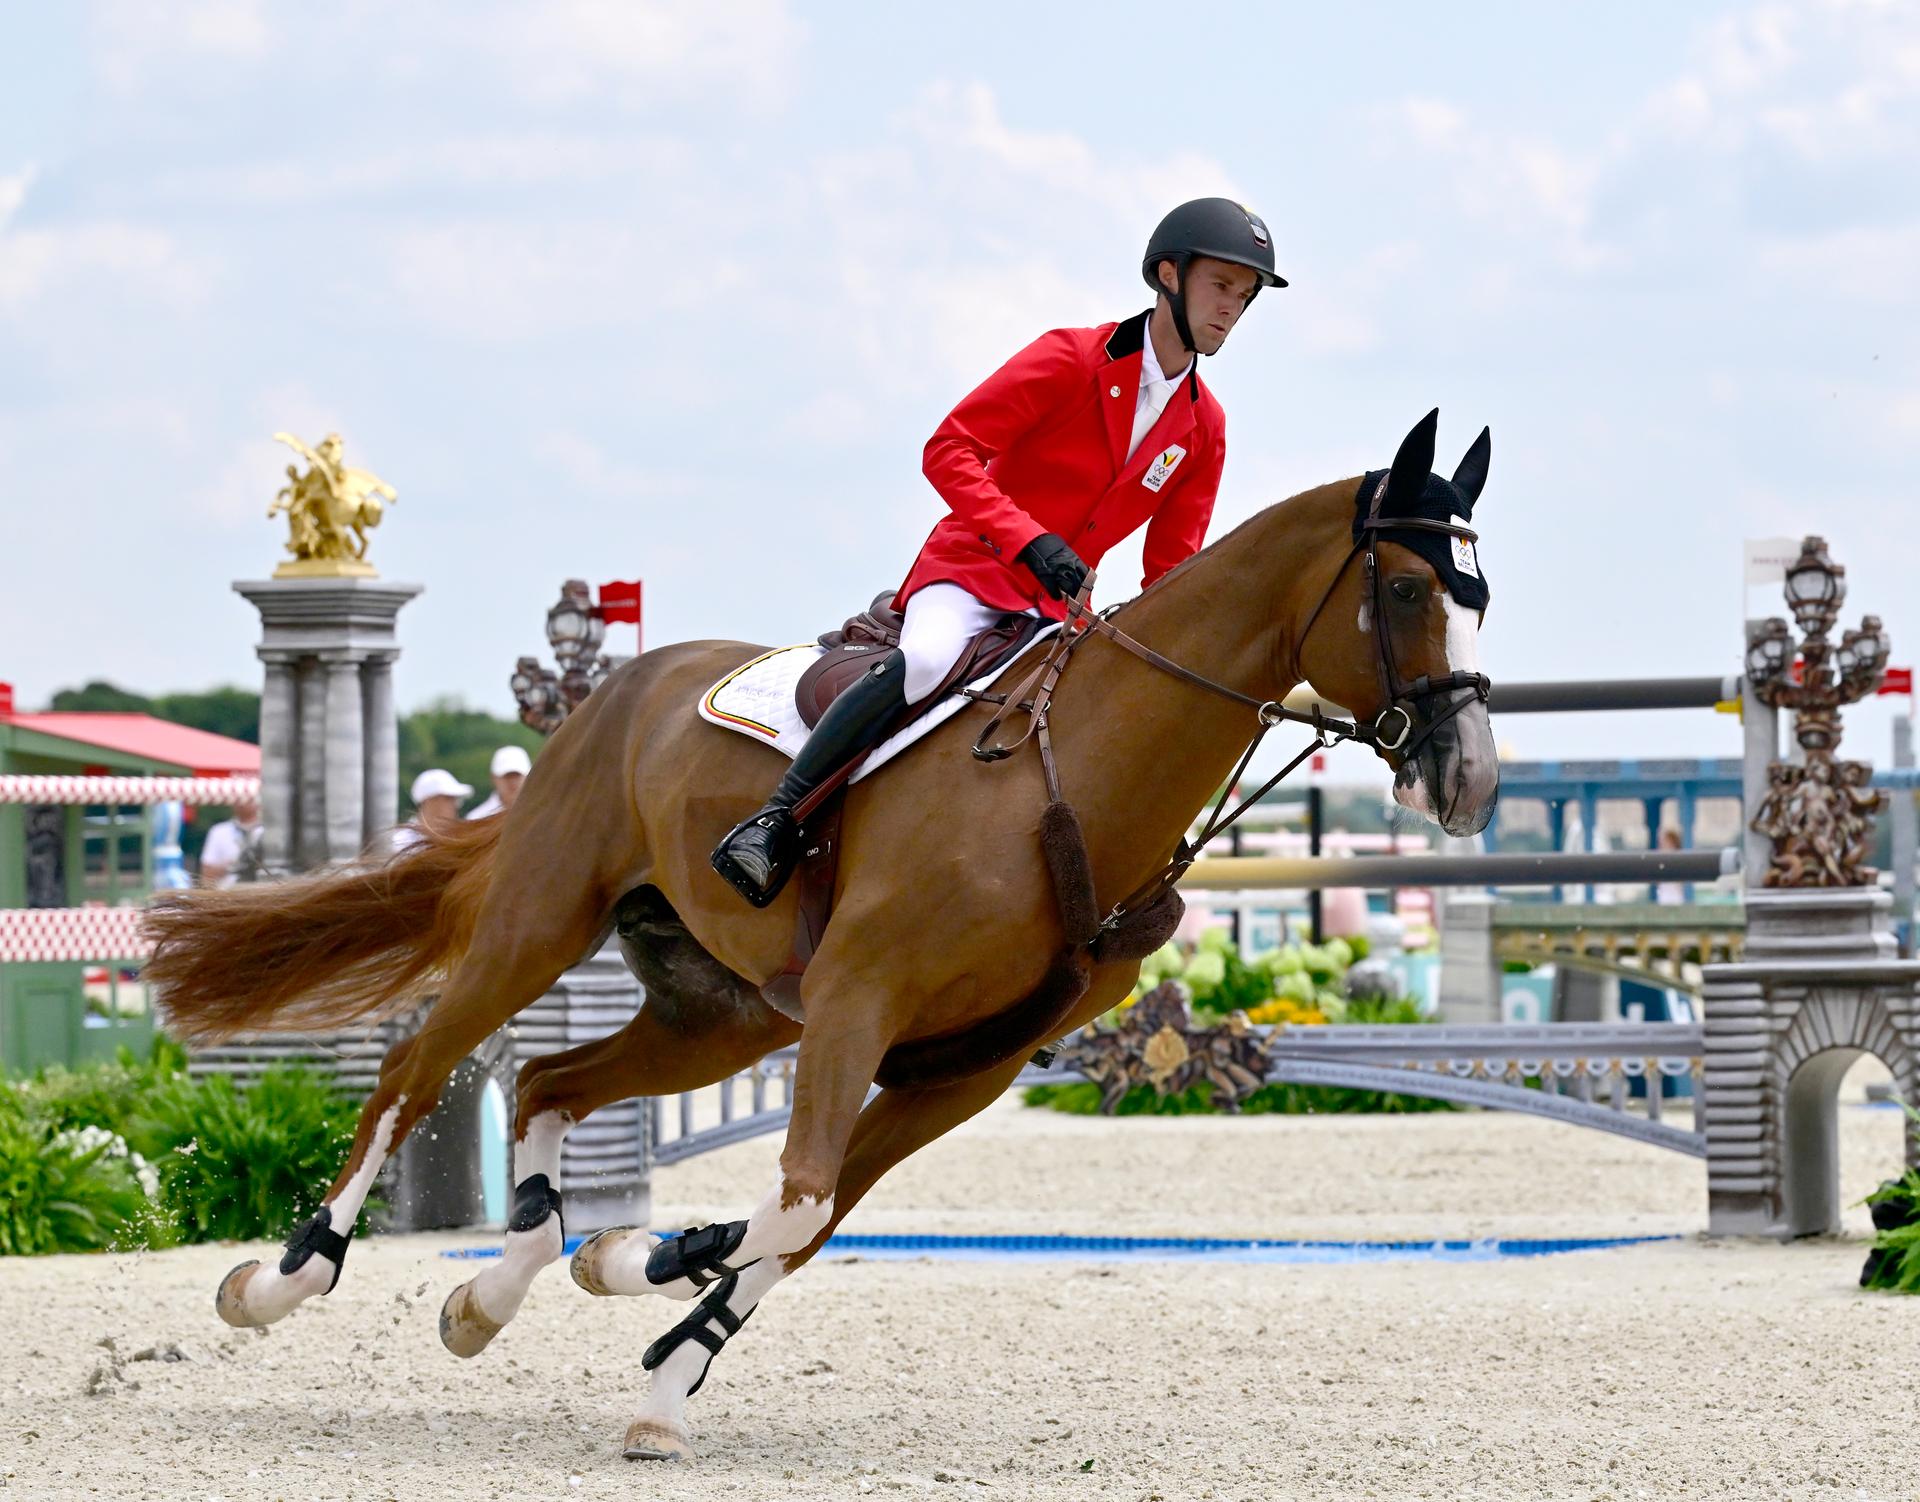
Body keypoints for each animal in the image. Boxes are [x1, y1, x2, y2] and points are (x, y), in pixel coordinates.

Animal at [144, 409, 1500, 1462]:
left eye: (1483, 592)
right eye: (1408, 588)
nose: (1471, 778)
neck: (1079, 782)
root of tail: (616, 685)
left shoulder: (965, 1066)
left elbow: (811, 1218)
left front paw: (651, 1316)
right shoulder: (858, 1000)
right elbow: (796, 1205)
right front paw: (656, 1283)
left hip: (720, 1010)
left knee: (547, 1079)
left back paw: (502, 1280)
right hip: (544, 922)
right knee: (413, 1071)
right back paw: (283, 1275)